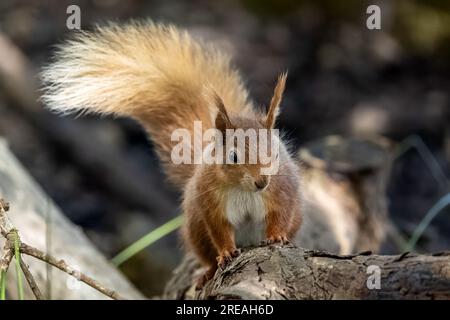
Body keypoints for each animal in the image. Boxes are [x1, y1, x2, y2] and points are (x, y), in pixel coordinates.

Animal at [42, 21, 302, 288]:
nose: (262, 182)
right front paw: (226, 252)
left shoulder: (281, 191)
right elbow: (219, 229)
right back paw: (208, 271)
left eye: (275, 153)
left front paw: (277, 236)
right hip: (196, 229)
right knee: (206, 254)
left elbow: (280, 214)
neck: (243, 189)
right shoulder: (210, 201)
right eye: (233, 157)